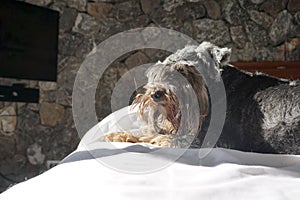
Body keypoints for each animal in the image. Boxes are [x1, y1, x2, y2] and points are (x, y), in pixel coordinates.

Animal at [103, 41, 300, 155]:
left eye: (185, 71)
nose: (156, 94)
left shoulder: (207, 140)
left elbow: (157, 137)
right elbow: (147, 131)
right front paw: (119, 135)